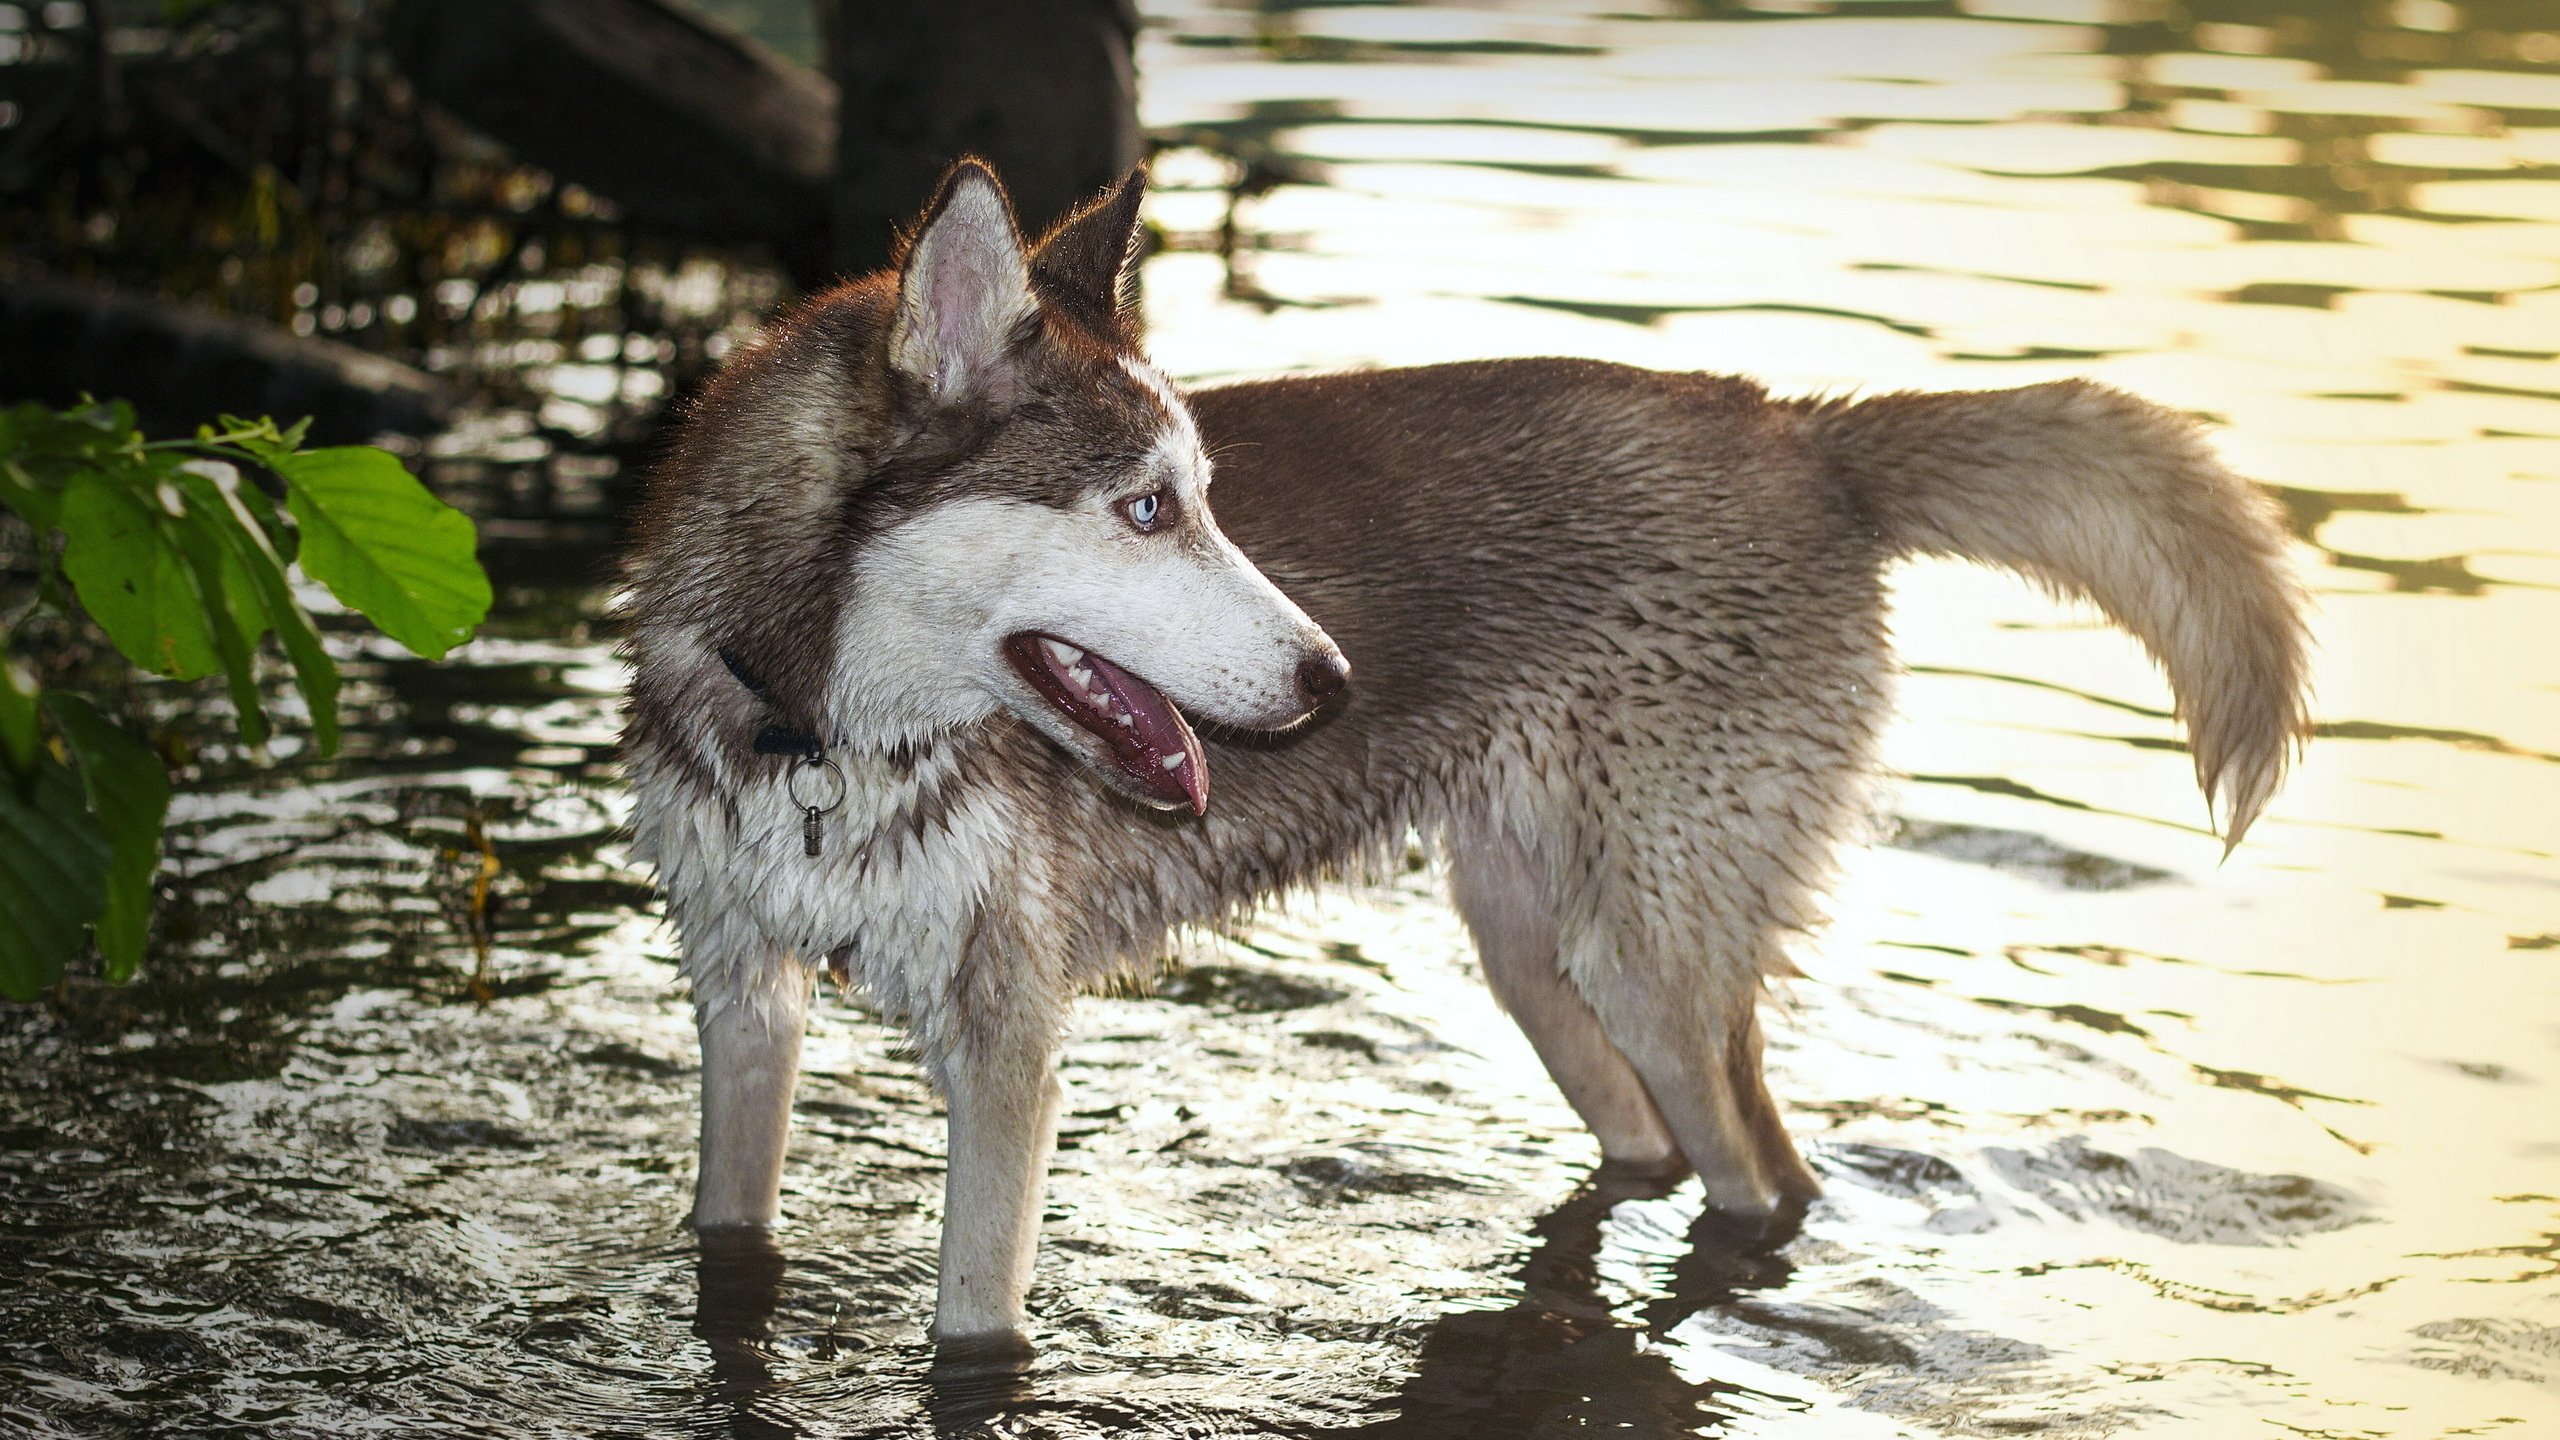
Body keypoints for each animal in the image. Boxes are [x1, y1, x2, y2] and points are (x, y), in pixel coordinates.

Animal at [624, 156, 2324, 1342]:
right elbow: (728, 1231)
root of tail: (1797, 427)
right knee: (1648, 1144)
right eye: (1147, 508)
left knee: (1763, 1171)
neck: (815, 739)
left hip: (1651, 952)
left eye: (1205, 496)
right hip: (1531, 942)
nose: (1332, 678)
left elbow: (971, 1330)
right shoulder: (743, 995)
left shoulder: (1007, 1046)